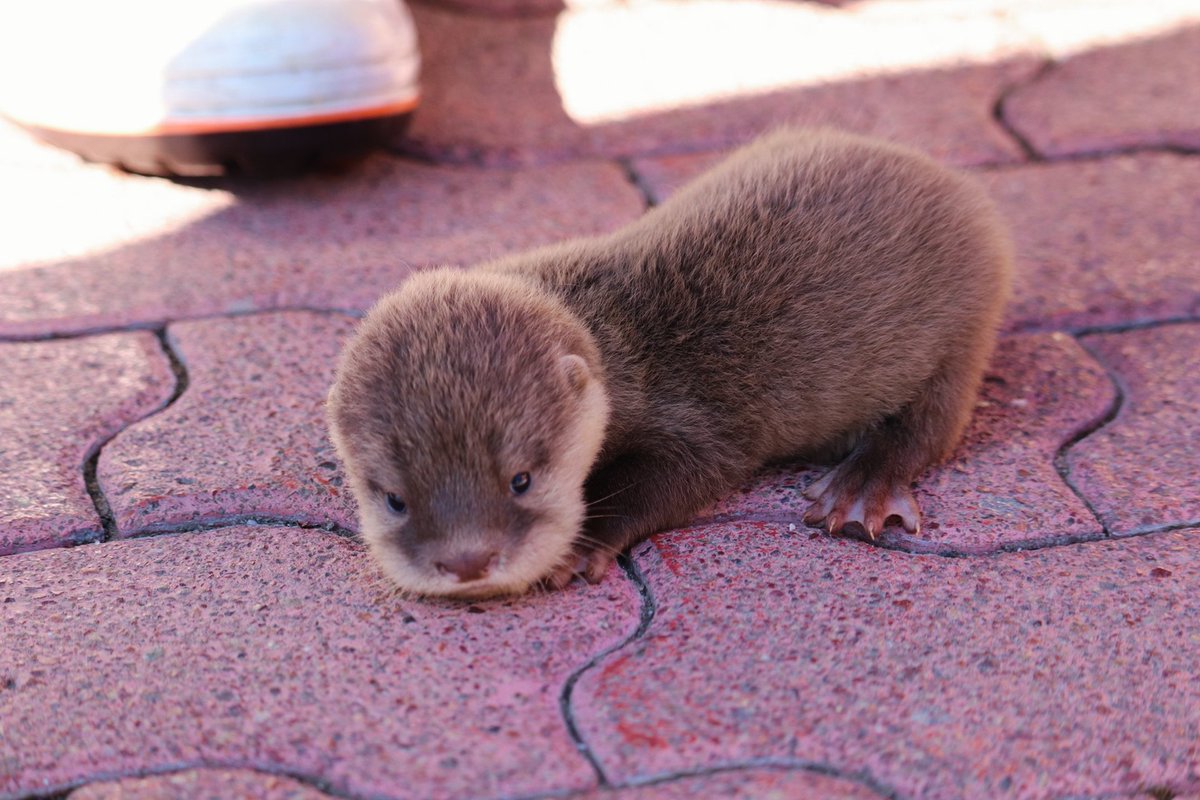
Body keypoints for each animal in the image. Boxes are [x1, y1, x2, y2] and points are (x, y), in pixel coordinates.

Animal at [328, 128, 1012, 597]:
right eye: (394, 499)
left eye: (521, 479)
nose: (468, 562)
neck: (613, 337)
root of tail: (961, 189)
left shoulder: (699, 420)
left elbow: (686, 473)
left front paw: (576, 547)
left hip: (965, 321)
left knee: (929, 423)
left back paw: (862, 485)